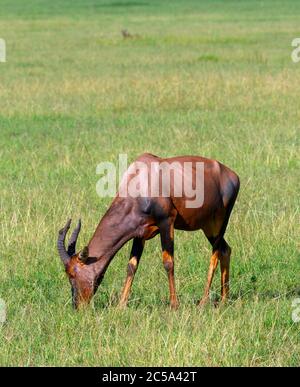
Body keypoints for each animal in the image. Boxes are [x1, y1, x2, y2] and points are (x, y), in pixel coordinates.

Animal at [56, 154, 239, 310]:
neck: (140, 180)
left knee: (215, 255)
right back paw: (224, 300)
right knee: (225, 249)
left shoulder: (167, 222)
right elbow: (131, 266)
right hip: (208, 227)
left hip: (220, 222)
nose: (77, 306)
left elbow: (168, 262)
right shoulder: (139, 233)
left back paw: (203, 302)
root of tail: (232, 175)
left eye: (72, 274)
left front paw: (174, 305)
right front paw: (121, 305)